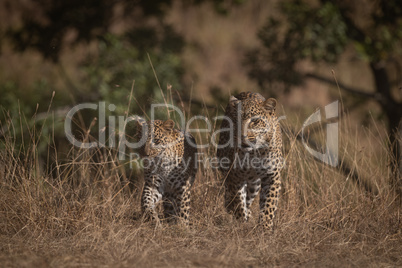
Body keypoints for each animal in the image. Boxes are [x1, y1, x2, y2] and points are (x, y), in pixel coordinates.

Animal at [217, 92, 286, 230]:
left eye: (255, 121)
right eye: (236, 120)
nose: (242, 136)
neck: (254, 153)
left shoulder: (272, 175)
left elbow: (269, 204)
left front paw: (265, 228)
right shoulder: (234, 176)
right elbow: (238, 202)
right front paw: (241, 224)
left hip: (254, 184)